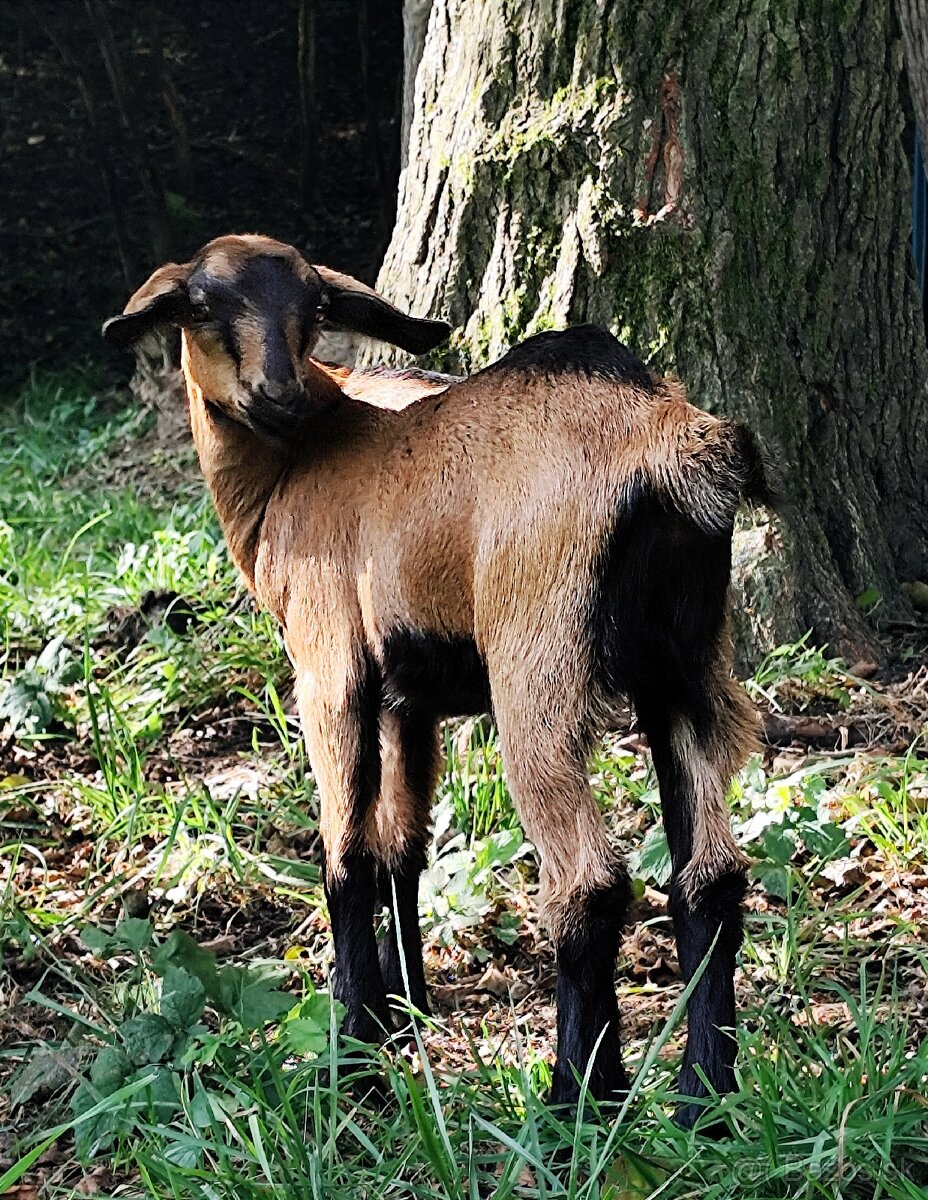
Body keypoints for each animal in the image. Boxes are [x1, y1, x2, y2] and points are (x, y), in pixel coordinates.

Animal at [101, 234, 773, 1123]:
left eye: (317, 305)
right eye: (202, 305)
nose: (280, 394)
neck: (298, 464)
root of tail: (675, 446)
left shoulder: (331, 668)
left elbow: (346, 858)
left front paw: (352, 1055)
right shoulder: (408, 696)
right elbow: (402, 852)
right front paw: (405, 1014)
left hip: (538, 658)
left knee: (589, 882)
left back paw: (574, 1101)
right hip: (689, 662)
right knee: (710, 878)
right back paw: (705, 1100)